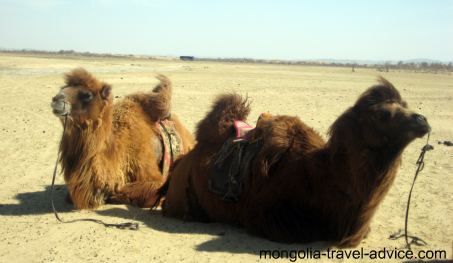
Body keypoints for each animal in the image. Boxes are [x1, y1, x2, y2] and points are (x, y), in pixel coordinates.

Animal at [159, 77, 430, 249]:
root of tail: (183, 162)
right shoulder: (268, 216)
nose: (422, 120)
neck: (323, 176)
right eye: (384, 113)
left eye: (405, 105)